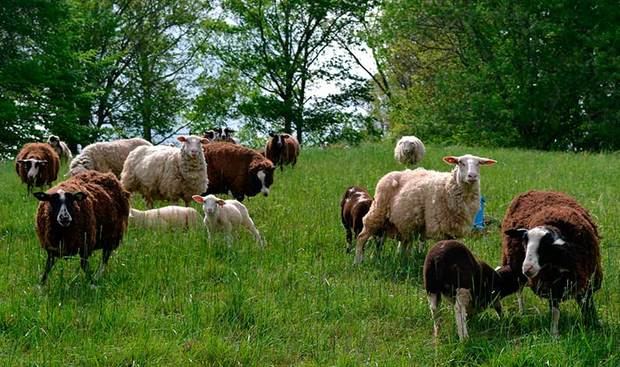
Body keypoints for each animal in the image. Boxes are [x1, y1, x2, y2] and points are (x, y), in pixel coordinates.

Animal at [356, 153, 496, 264]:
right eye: (460, 162)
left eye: (479, 163)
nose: (472, 176)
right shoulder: (439, 228)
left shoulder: (453, 231)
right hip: (378, 210)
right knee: (362, 236)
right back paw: (358, 261)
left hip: (398, 223)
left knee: (389, 242)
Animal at [502, 191, 604, 338]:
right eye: (524, 242)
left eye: (546, 246)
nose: (527, 268)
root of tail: (535, 190)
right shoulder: (550, 285)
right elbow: (555, 311)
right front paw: (554, 334)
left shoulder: (586, 279)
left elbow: (587, 304)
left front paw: (593, 324)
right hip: (516, 269)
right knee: (519, 290)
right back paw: (522, 312)